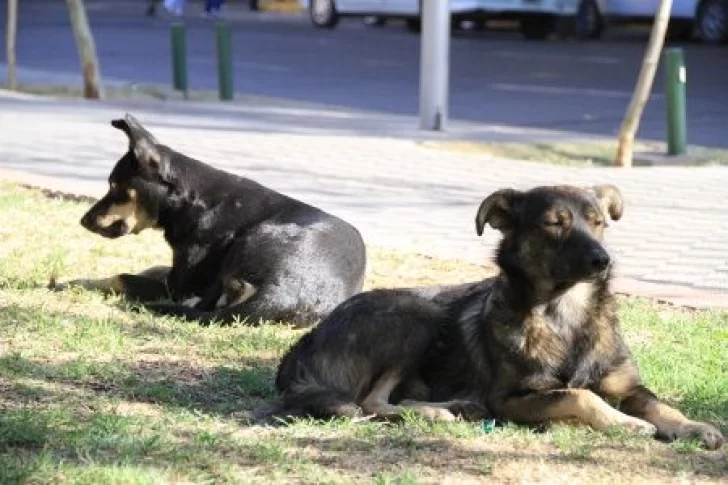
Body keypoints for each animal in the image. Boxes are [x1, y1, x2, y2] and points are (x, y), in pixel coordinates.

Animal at [54, 113, 366, 326]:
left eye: (114, 187)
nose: (83, 221)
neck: (192, 201)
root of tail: (284, 294)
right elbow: (152, 269)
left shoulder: (177, 285)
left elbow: (122, 277)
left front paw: (69, 283)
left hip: (252, 238)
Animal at [276, 183, 724, 448]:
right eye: (554, 224)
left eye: (599, 223)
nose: (603, 260)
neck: (565, 318)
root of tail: (303, 344)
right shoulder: (512, 399)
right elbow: (580, 395)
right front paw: (623, 423)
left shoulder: (627, 386)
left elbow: (662, 406)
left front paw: (693, 427)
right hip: (415, 316)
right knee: (371, 401)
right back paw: (440, 411)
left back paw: (458, 406)